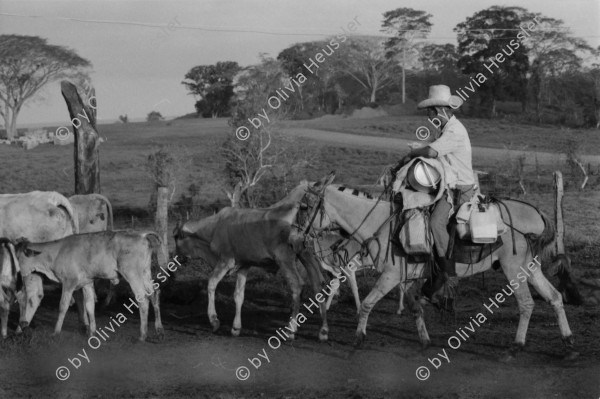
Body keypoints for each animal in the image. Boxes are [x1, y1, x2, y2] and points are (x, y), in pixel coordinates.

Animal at [14, 231, 164, 340]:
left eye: (18, 257)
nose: (16, 273)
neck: (57, 252)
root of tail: (142, 236)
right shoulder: (87, 283)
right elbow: (89, 306)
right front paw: (92, 332)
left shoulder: (69, 282)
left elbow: (63, 306)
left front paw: (56, 332)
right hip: (145, 273)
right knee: (154, 294)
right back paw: (159, 330)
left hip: (132, 274)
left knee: (143, 299)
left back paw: (142, 335)